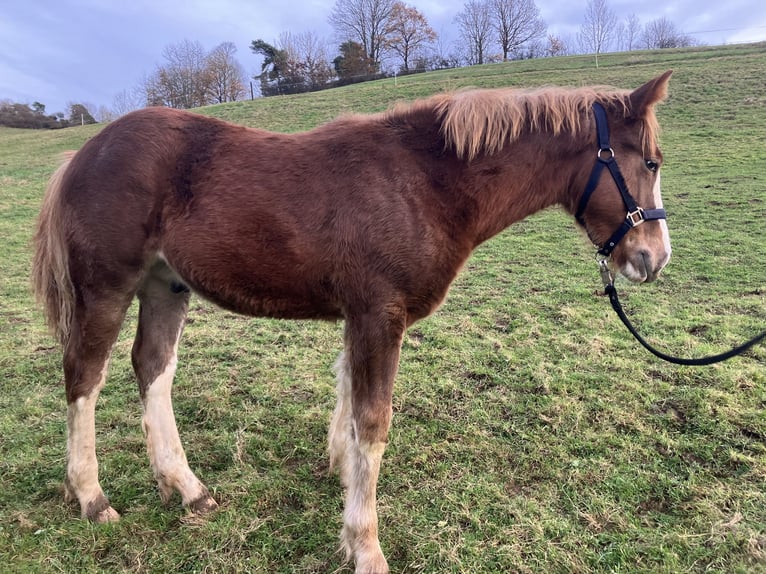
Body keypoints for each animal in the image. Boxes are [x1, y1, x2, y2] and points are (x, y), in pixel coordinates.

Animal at [33, 72, 676, 574]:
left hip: (166, 287)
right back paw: (91, 497)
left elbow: (347, 400)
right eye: (649, 161)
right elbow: (373, 422)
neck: (424, 184)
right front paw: (365, 546)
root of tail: (82, 154)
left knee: (153, 368)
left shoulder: (360, 316)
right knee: (84, 376)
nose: (654, 257)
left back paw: (186, 488)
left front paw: (340, 477)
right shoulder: (378, 315)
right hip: (106, 287)